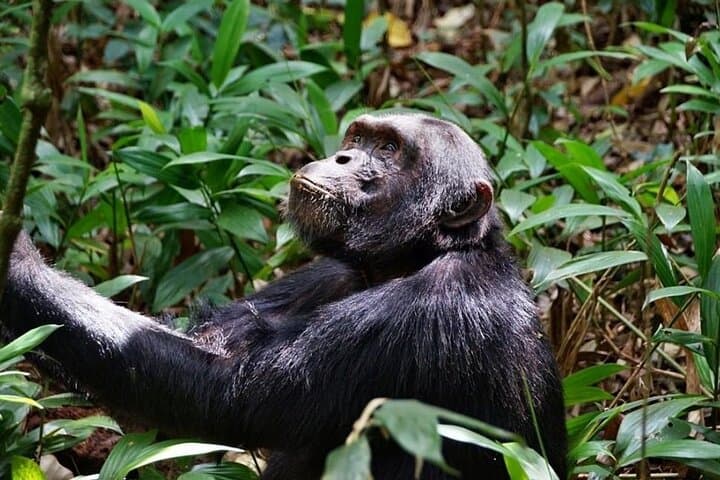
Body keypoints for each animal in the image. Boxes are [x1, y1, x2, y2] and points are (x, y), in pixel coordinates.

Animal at [1, 113, 567, 479]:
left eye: (388, 150)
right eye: (358, 136)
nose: (342, 155)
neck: (416, 254)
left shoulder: (429, 311)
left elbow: (225, 392)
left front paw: (14, 258)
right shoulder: (325, 274)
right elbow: (202, 343)